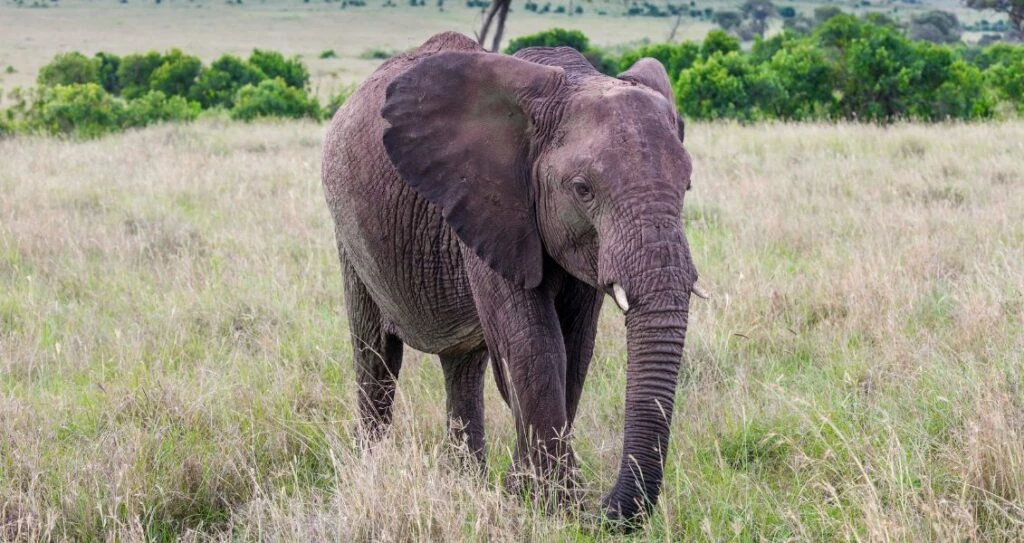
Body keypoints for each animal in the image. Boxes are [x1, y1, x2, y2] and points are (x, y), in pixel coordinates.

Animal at [321, 31, 701, 523]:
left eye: (686, 185)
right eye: (582, 189)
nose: (603, 511)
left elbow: (575, 347)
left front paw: (522, 492)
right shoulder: (489, 204)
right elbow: (534, 344)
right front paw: (553, 504)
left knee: (462, 364)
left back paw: (464, 481)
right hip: (348, 229)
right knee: (376, 355)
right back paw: (371, 468)